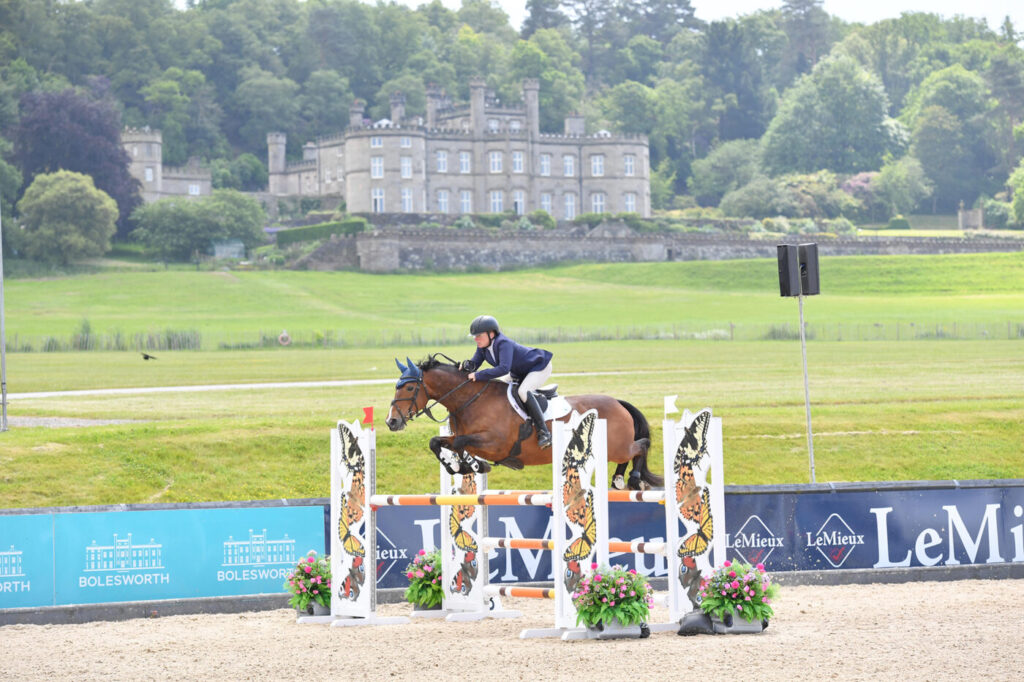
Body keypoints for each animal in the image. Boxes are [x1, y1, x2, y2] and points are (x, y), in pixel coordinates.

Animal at [385, 350, 663, 489]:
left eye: (409, 388)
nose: (391, 422)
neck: (470, 400)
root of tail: (618, 402)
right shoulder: (463, 437)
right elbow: (439, 442)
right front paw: (464, 466)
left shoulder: (495, 444)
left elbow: (461, 443)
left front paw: (470, 465)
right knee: (631, 453)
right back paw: (618, 480)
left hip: (616, 446)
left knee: (641, 446)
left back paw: (633, 479)